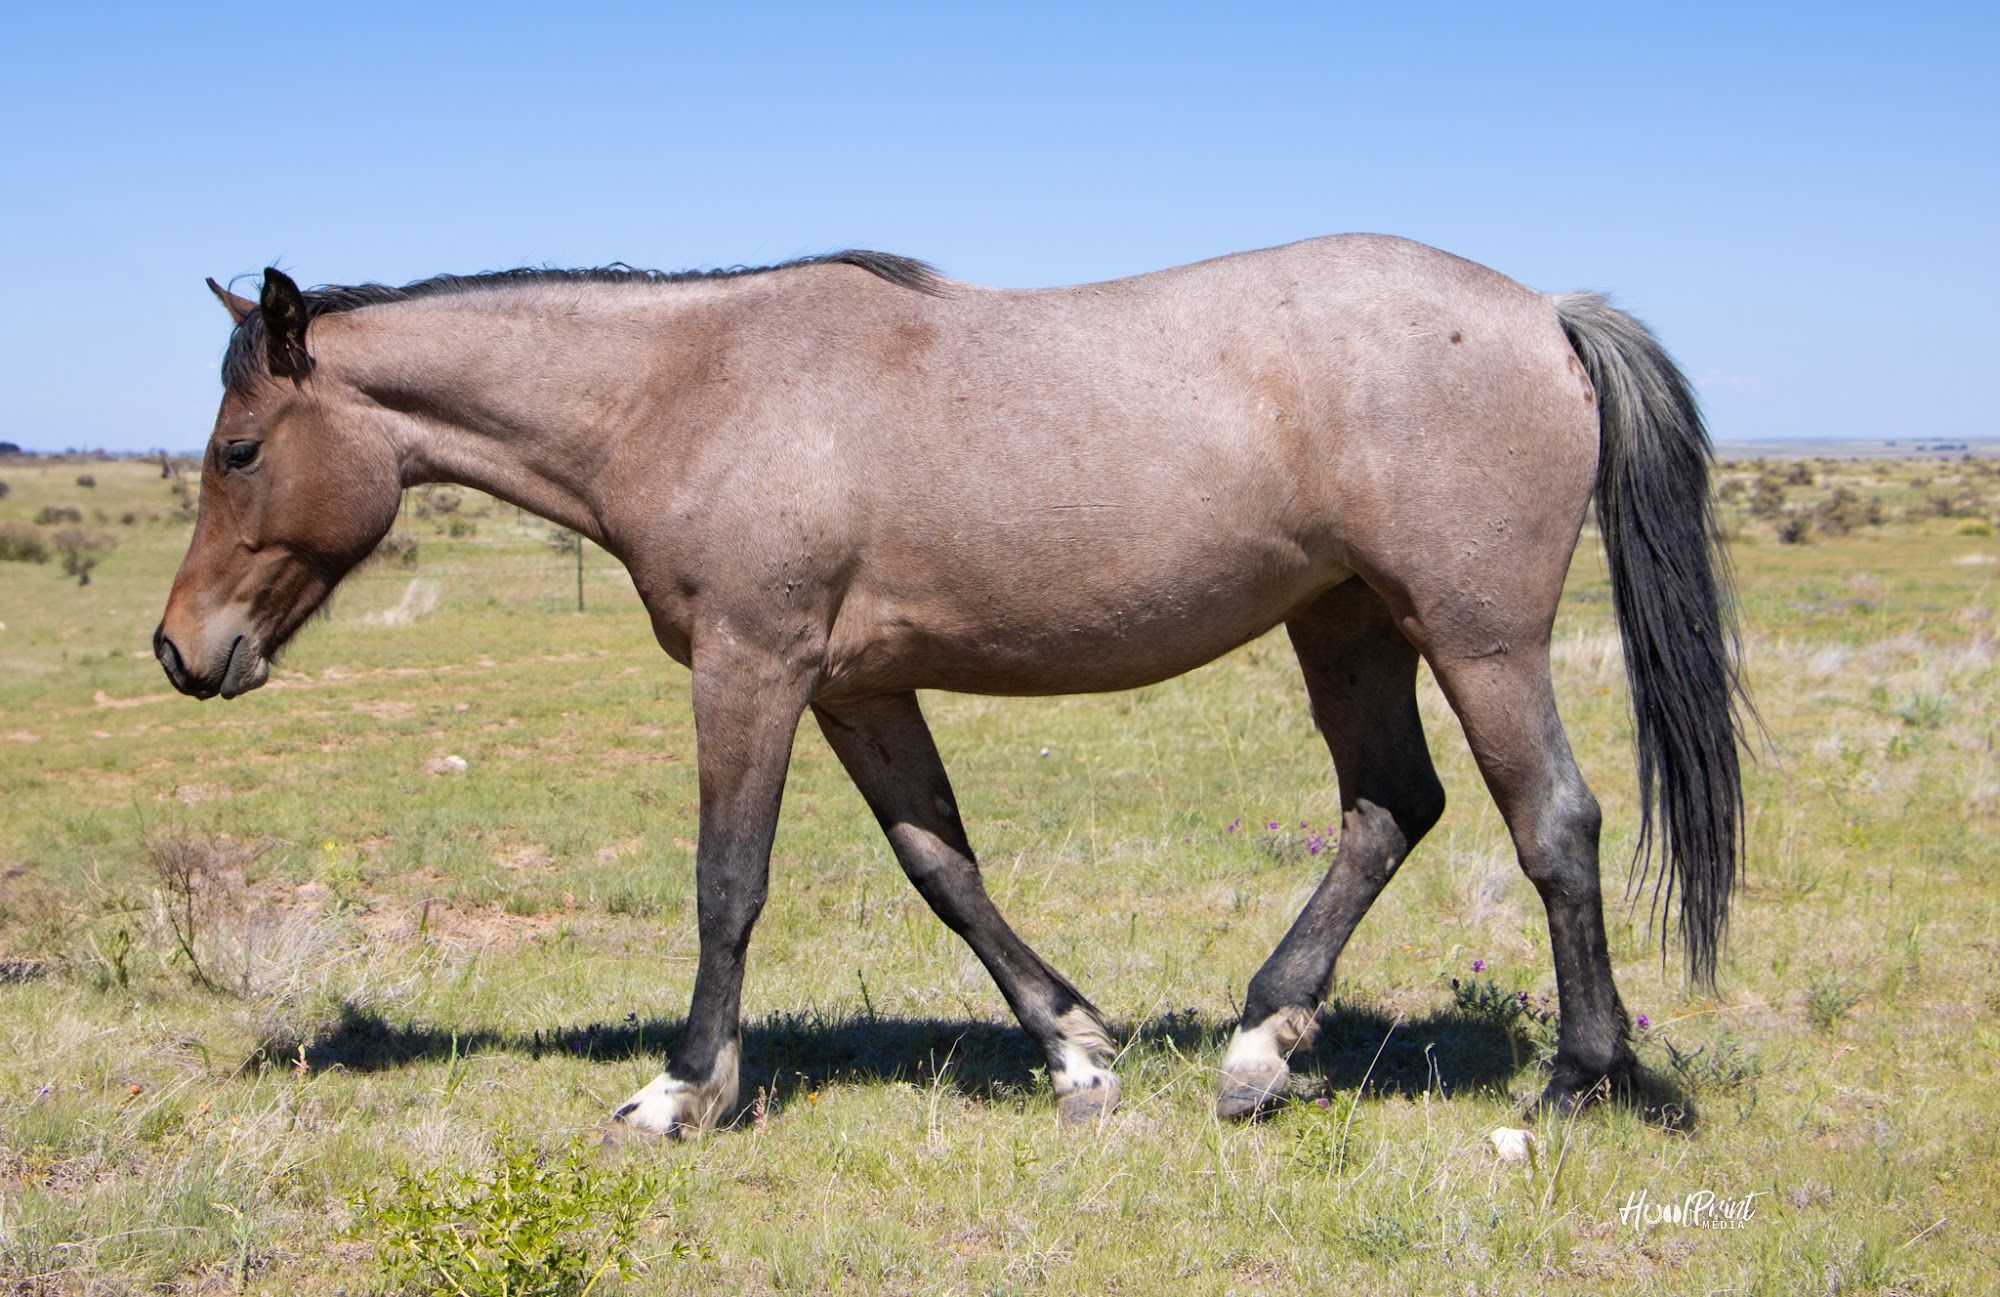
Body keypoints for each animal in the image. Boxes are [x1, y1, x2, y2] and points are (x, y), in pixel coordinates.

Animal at [156, 235, 1746, 1135]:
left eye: (239, 448)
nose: (182, 649)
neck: (690, 391)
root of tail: (1543, 312)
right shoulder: (856, 692)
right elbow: (945, 870)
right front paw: (1078, 1052)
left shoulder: (752, 671)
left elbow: (727, 882)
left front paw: (683, 1087)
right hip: (1347, 623)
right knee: (1386, 809)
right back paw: (1258, 1048)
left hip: (1475, 638)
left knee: (1552, 824)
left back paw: (1574, 1081)